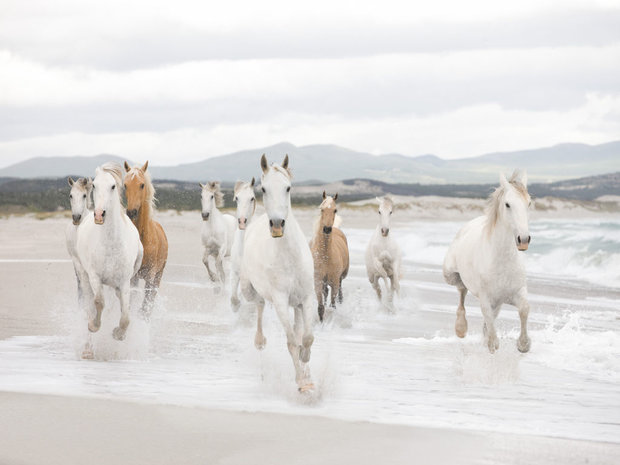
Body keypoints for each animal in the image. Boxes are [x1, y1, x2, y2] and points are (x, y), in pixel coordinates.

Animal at [76, 162, 143, 340]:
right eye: (94, 185)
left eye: (113, 186)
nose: (99, 215)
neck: (111, 244)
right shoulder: (95, 277)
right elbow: (99, 302)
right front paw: (93, 325)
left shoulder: (124, 281)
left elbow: (126, 316)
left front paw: (119, 334)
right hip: (83, 273)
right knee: (88, 298)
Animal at [123, 160, 168, 316]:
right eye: (125, 185)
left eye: (142, 185)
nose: (131, 212)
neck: (143, 239)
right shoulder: (132, 276)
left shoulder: (150, 276)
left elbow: (145, 307)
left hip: (158, 276)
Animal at [239, 155, 314, 392]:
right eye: (263, 189)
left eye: (288, 188)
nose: (278, 225)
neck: (289, 257)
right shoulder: (281, 300)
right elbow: (291, 342)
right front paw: (302, 383)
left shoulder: (307, 297)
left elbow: (306, 338)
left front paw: (307, 369)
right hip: (250, 290)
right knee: (260, 305)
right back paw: (259, 341)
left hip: (297, 304)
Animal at [308, 190, 348, 320]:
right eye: (321, 209)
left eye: (335, 210)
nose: (326, 229)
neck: (324, 256)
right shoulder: (318, 281)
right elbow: (320, 307)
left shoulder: (334, 282)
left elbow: (333, 305)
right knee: (325, 292)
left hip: (340, 276)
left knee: (340, 287)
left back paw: (341, 300)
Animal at [440, 170, 532, 352]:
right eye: (508, 204)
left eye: (529, 203)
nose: (523, 240)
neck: (501, 261)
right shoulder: (485, 297)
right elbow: (487, 317)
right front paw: (492, 343)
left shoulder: (516, 292)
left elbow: (524, 309)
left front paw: (523, 344)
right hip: (450, 275)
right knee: (461, 290)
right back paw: (461, 328)